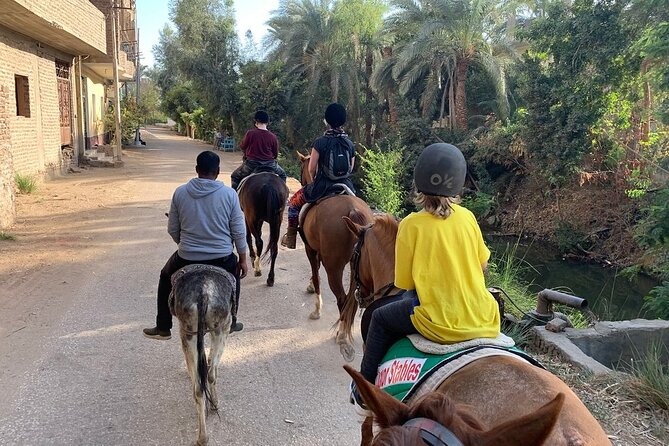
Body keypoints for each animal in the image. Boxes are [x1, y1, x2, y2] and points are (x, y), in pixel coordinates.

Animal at [294, 152, 374, 360]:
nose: (303, 181)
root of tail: (353, 210)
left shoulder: (310, 249)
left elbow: (316, 275)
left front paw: (316, 310)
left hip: (334, 267)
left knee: (342, 298)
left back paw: (341, 335)